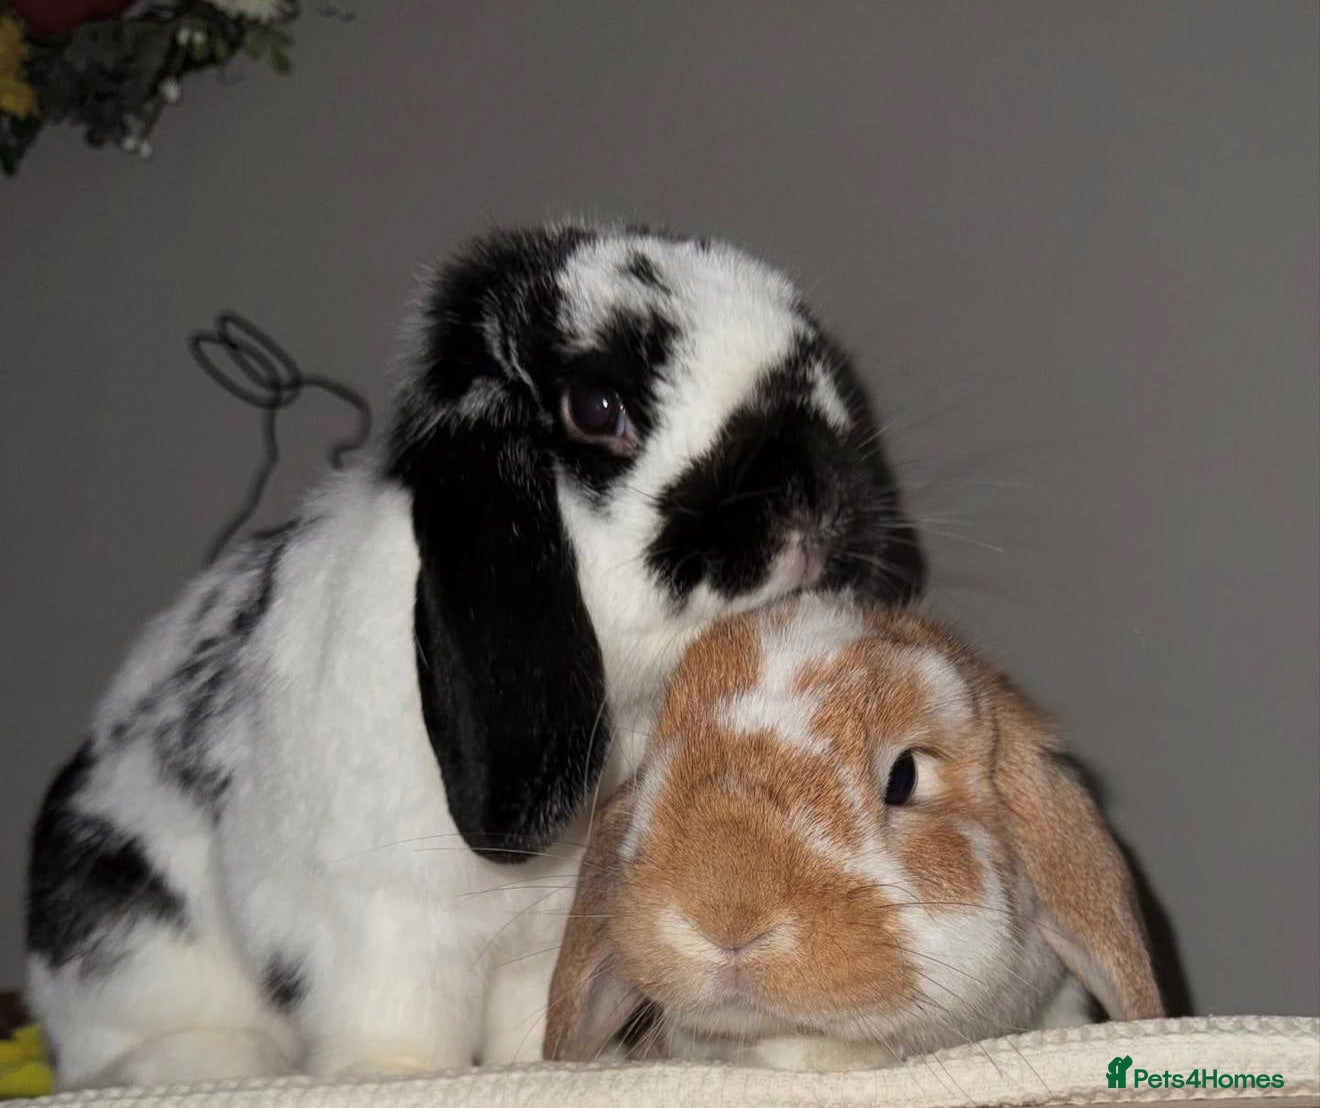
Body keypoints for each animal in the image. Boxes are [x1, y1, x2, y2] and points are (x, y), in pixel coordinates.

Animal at [25, 222, 928, 1088]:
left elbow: (533, 1020)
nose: (817, 492)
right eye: (596, 406)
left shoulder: (545, 938)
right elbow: (396, 1017)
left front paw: (545, 1067)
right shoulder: (380, 918)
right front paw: (392, 1075)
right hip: (126, 935)